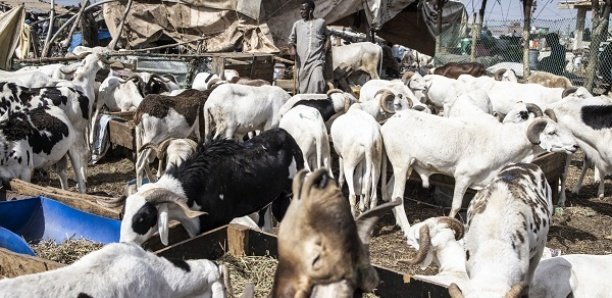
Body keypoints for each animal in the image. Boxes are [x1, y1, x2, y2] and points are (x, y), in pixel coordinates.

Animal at [119, 129, 304, 246]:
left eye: (143, 217)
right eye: (122, 214)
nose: (124, 243)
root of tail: (284, 133)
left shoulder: (215, 223)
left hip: (290, 193)